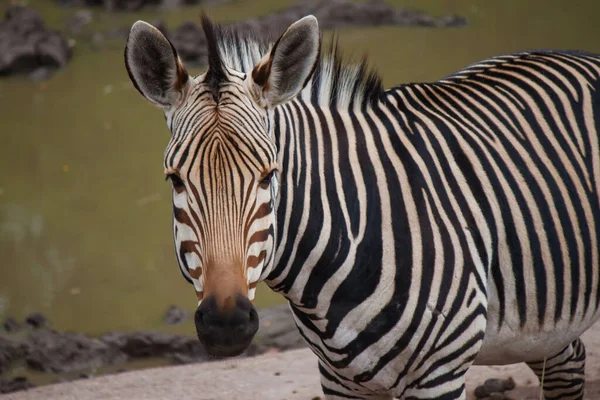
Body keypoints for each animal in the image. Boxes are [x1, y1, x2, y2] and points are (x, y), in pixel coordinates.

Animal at [123, 14, 600, 398]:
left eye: (269, 174)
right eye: (175, 179)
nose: (226, 324)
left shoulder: (440, 373)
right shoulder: (340, 381)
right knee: (567, 361)